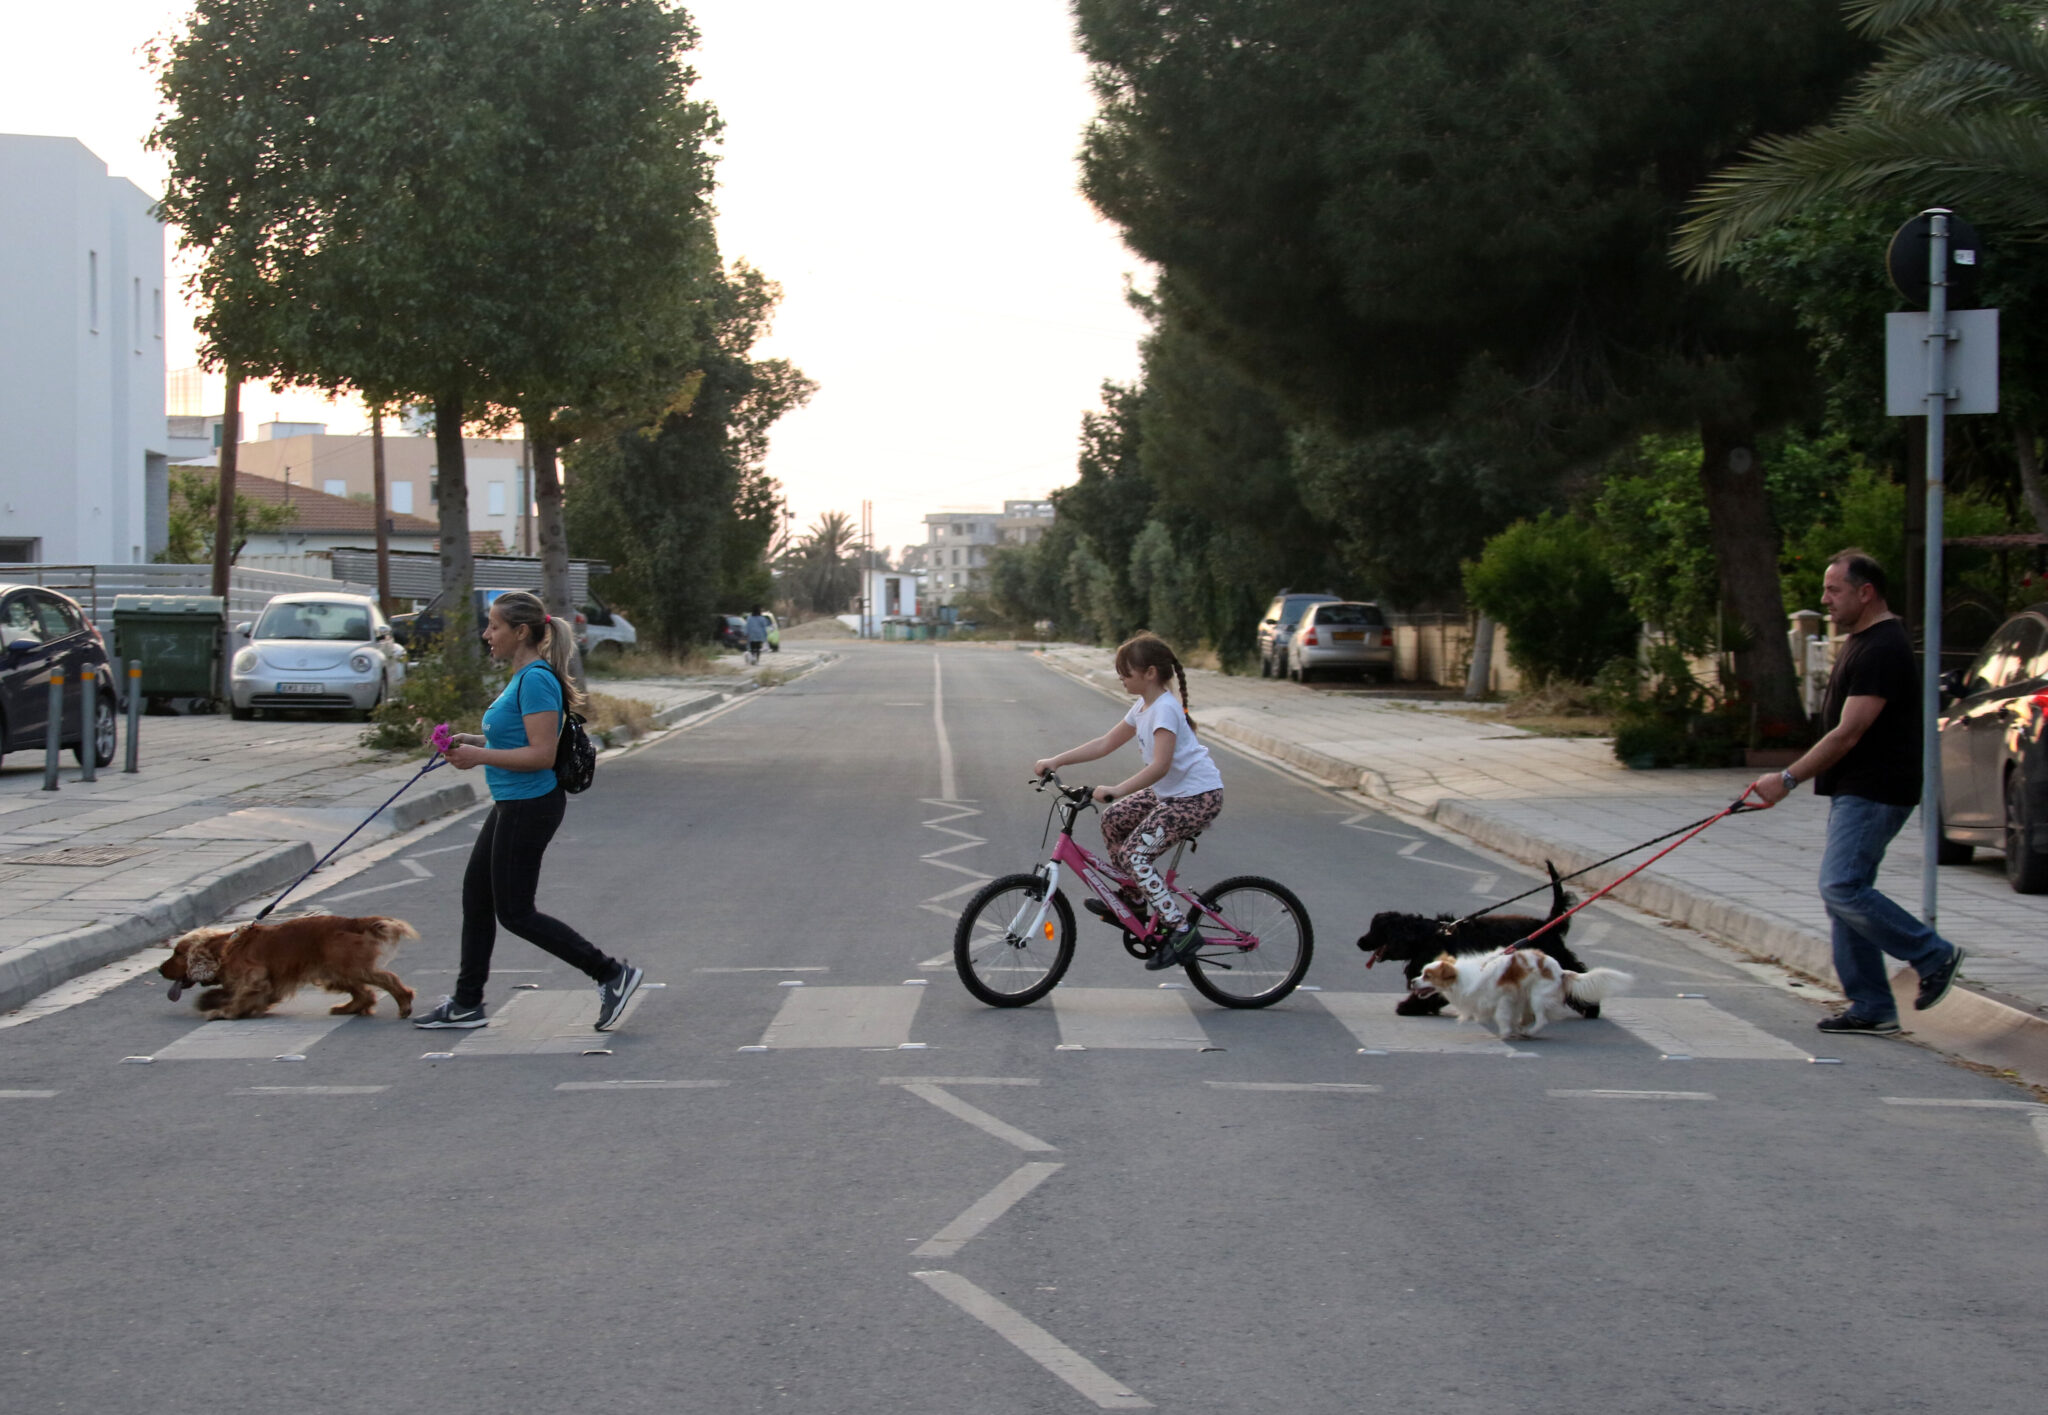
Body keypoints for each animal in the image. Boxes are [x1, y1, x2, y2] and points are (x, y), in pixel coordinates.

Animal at [160, 917, 419, 1019]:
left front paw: (226, 1013)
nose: (160, 970)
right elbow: (227, 993)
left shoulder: (256, 977)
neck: (224, 949)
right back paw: (347, 1008)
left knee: (387, 979)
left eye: (177, 953)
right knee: (365, 994)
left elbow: (240, 997)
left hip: (349, 968)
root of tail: (352, 922)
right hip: (333, 971)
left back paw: (405, 1004)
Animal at [1359, 864, 1597, 1019]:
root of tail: (1547, 922)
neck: (1427, 936)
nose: (1359, 942)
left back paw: (1591, 1007)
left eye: (1375, 930)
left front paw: (1409, 1007)